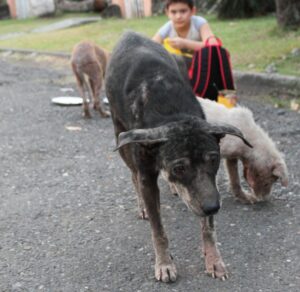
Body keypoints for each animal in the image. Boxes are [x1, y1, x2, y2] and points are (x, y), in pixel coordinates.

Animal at [105, 32, 251, 282]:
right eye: (179, 168)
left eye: (214, 160)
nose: (213, 207)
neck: (172, 114)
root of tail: (129, 33)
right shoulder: (147, 176)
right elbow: (158, 230)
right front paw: (164, 264)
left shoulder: (207, 188)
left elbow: (208, 228)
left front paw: (214, 260)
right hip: (121, 137)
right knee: (133, 174)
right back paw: (143, 205)